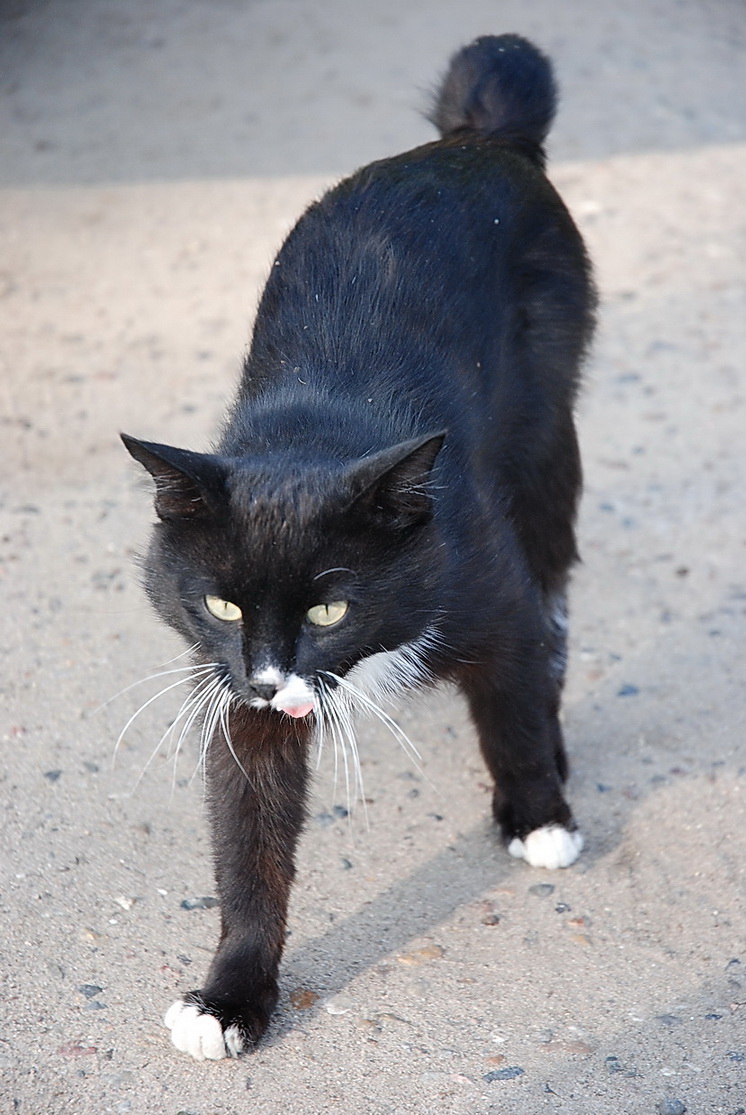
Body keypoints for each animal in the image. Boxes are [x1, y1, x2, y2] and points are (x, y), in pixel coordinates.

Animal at [124, 32, 597, 1061]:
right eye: (219, 601)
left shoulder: (486, 589)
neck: (318, 430)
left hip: (547, 437)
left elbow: (513, 690)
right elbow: (249, 840)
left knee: (554, 595)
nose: (271, 678)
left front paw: (538, 813)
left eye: (332, 605)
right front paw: (229, 997)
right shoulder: (232, 692)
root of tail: (473, 141)